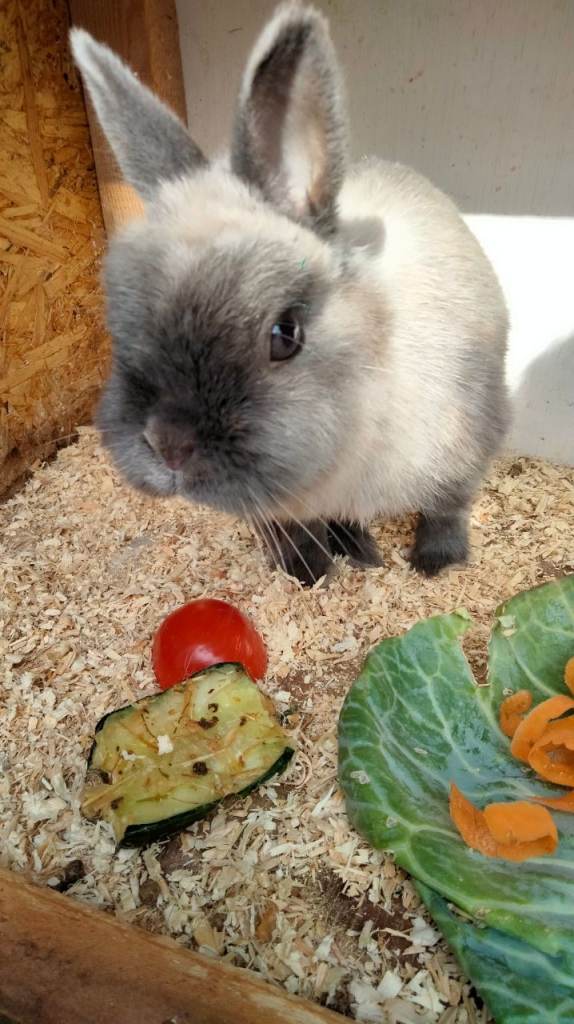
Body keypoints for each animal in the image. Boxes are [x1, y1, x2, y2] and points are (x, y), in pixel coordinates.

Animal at [70, 2, 509, 587]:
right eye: (119, 325)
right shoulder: (283, 505)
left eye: (285, 335)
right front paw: (310, 569)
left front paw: (435, 562)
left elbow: (447, 507)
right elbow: (297, 529)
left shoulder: (465, 444)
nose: (167, 445)